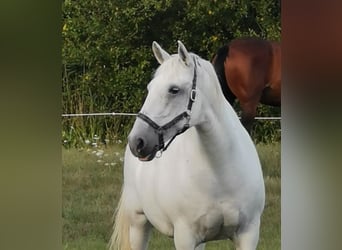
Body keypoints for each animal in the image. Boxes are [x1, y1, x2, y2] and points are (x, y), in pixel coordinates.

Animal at [111, 41, 266, 250]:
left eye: (174, 90)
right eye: (150, 88)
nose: (137, 141)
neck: (222, 173)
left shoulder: (248, 233)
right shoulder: (185, 236)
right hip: (138, 223)